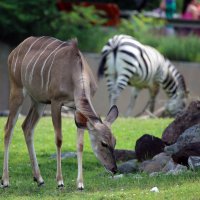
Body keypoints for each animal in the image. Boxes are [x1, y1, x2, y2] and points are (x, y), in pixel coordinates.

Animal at [0, 36, 118, 189]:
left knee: (27, 127)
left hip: (38, 100)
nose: (114, 169)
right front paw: (60, 181)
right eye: (103, 143)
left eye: (114, 141)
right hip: (17, 90)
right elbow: (59, 139)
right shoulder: (56, 102)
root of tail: (13, 52)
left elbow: (80, 144)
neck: (74, 71)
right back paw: (5, 181)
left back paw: (39, 179)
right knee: (9, 128)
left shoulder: (77, 108)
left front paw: (80, 184)